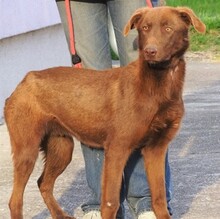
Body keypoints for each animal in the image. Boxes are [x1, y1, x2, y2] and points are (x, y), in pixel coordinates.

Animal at [4, 6, 205, 218]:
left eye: (168, 28)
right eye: (145, 28)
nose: (150, 51)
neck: (157, 85)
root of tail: (22, 83)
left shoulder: (155, 149)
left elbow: (159, 199)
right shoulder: (117, 149)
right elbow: (110, 202)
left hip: (61, 147)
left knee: (43, 183)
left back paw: (60, 214)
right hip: (27, 149)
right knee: (15, 200)